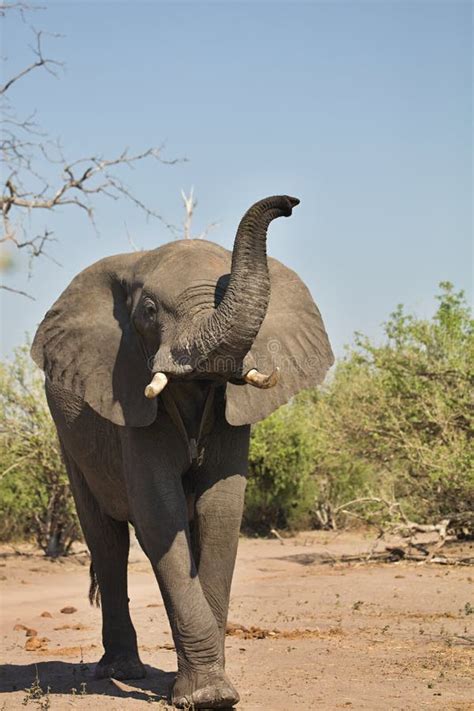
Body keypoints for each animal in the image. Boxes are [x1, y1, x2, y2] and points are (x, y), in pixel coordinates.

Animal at [31, 195, 334, 708]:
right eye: (150, 310)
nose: (290, 204)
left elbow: (220, 512)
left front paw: (209, 690)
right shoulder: (126, 391)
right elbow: (159, 511)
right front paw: (207, 696)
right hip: (68, 438)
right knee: (107, 540)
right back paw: (120, 670)